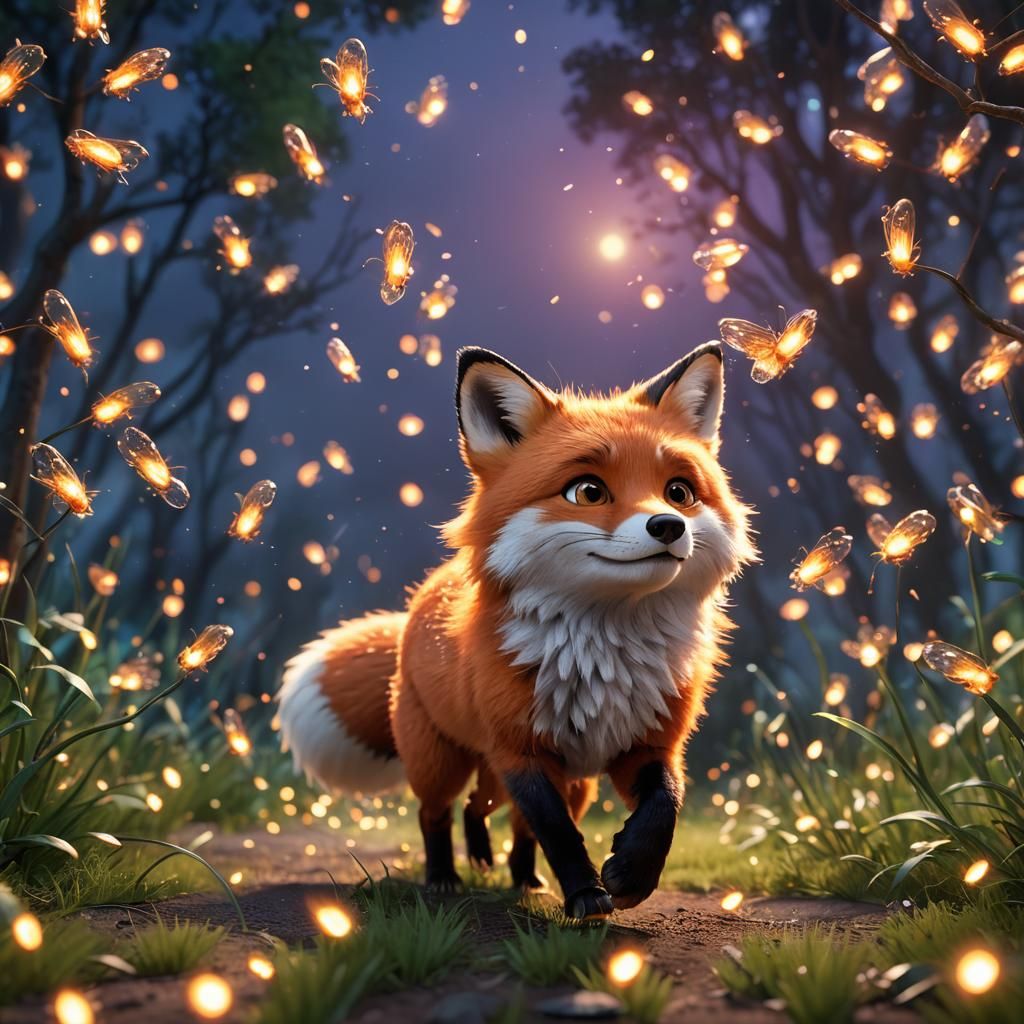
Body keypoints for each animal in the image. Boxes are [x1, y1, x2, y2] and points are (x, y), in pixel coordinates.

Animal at [278, 342, 756, 921]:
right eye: (588, 491)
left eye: (679, 492)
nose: (668, 526)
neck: (604, 651)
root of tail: (420, 598)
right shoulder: (520, 751)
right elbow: (558, 831)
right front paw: (587, 895)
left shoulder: (647, 744)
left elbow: (666, 802)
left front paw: (632, 874)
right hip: (441, 761)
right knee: (437, 813)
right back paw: (444, 877)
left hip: (568, 781)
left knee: (486, 812)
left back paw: (516, 874)